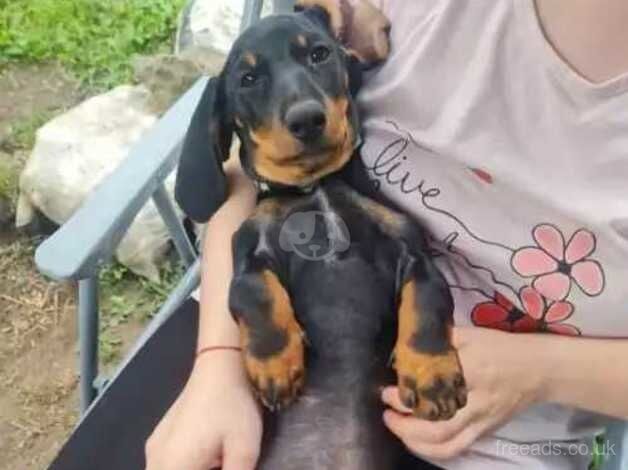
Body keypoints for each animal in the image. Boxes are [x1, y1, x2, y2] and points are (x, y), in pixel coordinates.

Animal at [175, 1, 466, 468]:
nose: (307, 119)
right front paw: (275, 364)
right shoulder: (249, 252)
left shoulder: (414, 252)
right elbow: (256, 294)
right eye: (248, 79)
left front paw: (433, 375)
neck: (317, 189)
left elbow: (427, 306)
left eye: (319, 54)